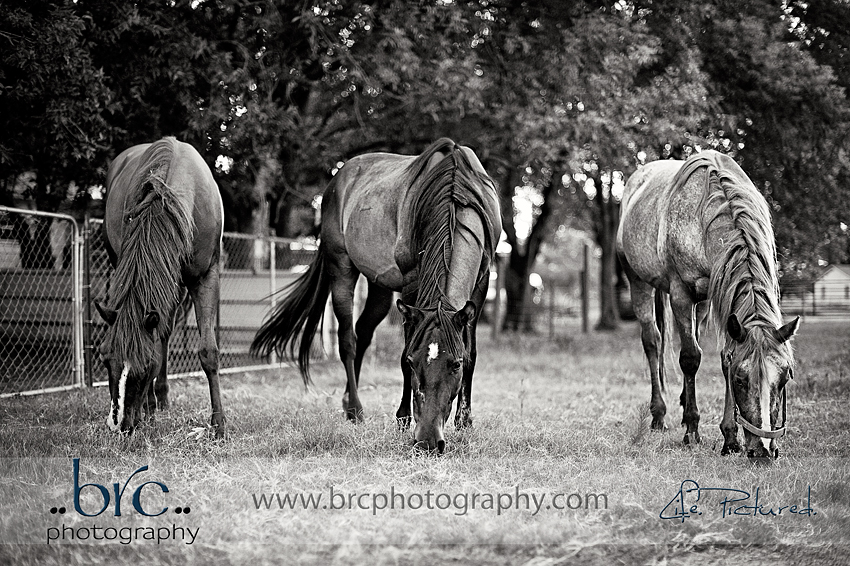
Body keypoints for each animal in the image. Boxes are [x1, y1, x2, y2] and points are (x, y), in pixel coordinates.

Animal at [95, 137, 226, 438]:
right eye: (105, 358)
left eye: (145, 366)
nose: (120, 425)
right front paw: (148, 409)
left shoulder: (206, 276)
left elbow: (208, 351)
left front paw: (219, 424)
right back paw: (154, 404)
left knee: (164, 332)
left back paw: (160, 399)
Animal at [251, 138, 501, 454]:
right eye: (414, 362)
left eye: (455, 364)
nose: (428, 442)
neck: (455, 195)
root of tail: (338, 178)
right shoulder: (412, 284)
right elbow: (403, 348)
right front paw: (403, 418)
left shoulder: (480, 286)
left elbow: (473, 353)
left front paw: (465, 421)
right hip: (341, 268)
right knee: (348, 339)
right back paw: (355, 410)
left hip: (380, 287)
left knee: (363, 331)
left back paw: (347, 401)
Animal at [617, 150, 799, 460]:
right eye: (741, 380)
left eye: (785, 378)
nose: (763, 451)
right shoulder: (680, 292)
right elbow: (690, 358)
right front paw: (692, 430)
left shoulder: (720, 299)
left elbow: (723, 356)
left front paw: (730, 438)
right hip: (638, 282)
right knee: (653, 341)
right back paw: (659, 414)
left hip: (701, 304)